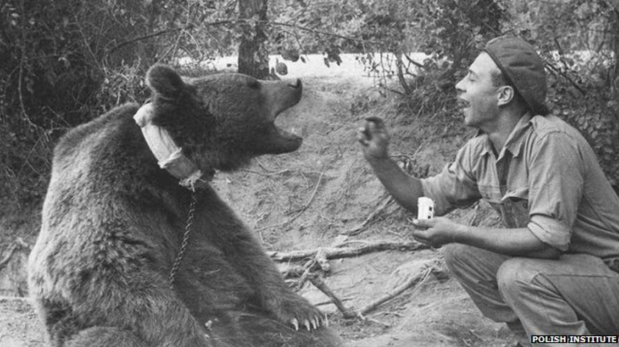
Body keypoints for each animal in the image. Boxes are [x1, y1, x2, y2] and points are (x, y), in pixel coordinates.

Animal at [26, 65, 342, 347]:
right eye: (252, 84)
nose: (295, 83)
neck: (165, 166)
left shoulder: (197, 204)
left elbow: (241, 246)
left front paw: (304, 312)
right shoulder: (107, 198)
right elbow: (112, 272)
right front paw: (191, 337)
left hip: (252, 321)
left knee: (308, 339)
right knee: (110, 337)